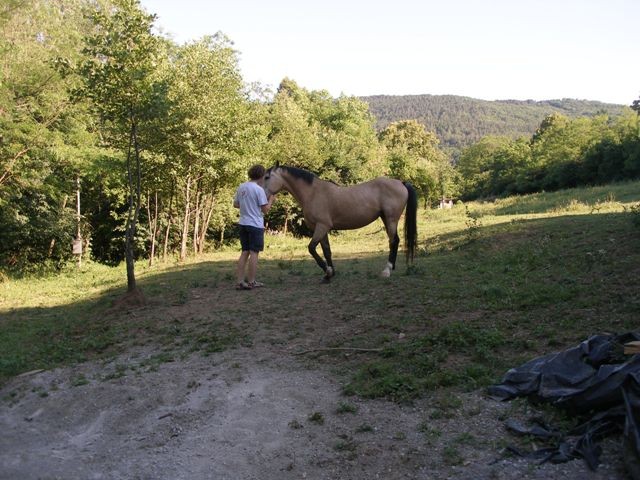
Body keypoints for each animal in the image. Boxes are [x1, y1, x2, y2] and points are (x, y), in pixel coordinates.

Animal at [262, 165, 418, 282]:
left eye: (267, 177)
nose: (263, 196)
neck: (313, 193)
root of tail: (401, 183)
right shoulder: (321, 228)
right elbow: (327, 251)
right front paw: (329, 275)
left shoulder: (321, 226)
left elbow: (311, 248)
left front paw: (328, 271)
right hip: (386, 218)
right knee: (394, 241)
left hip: (391, 219)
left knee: (394, 241)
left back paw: (387, 270)